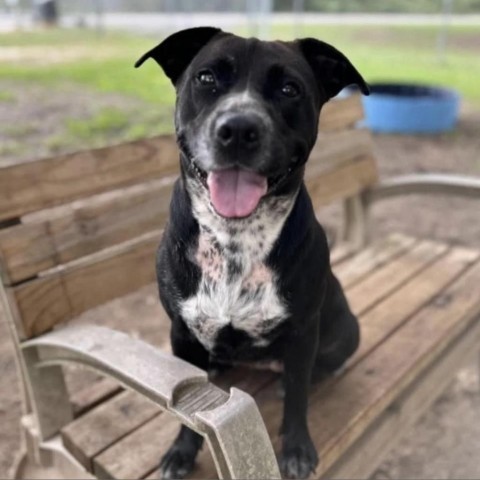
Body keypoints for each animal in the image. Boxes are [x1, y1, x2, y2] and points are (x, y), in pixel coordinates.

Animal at [137, 27, 370, 480]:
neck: (236, 239)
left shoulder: (302, 332)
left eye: (289, 88)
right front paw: (182, 451)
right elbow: (188, 402)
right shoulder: (181, 332)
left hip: (345, 330)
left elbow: (297, 399)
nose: (240, 128)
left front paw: (296, 449)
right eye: (207, 78)